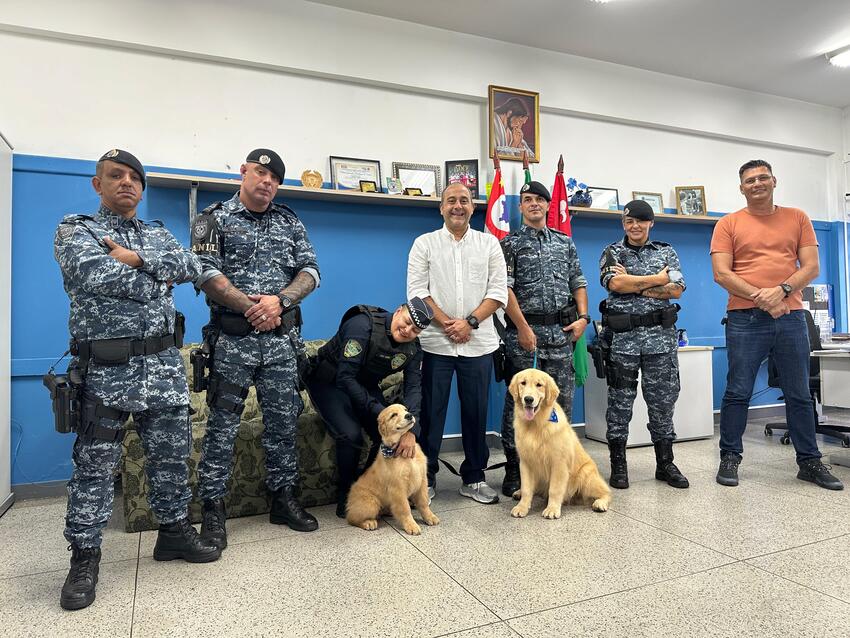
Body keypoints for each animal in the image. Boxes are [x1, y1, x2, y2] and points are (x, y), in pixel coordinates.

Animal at [344, 404, 440, 536]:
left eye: (405, 410)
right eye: (393, 415)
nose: (409, 415)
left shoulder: (422, 480)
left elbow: (423, 502)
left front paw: (430, 517)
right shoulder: (398, 487)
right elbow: (405, 508)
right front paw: (411, 525)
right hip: (371, 503)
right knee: (351, 518)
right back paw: (368, 522)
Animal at [506, 370, 608, 520]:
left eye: (539, 385)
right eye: (523, 383)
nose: (528, 399)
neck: (535, 424)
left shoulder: (558, 464)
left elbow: (555, 489)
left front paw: (552, 509)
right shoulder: (526, 463)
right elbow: (527, 488)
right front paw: (522, 507)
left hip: (587, 475)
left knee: (607, 491)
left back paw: (600, 503)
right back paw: (518, 493)